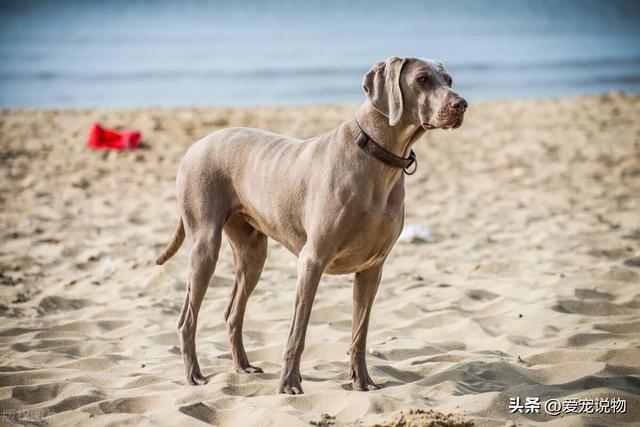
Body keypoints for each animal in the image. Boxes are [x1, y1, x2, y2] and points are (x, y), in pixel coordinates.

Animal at [155, 56, 464, 394]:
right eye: (422, 79)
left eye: (448, 79)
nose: (462, 104)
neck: (376, 158)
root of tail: (195, 145)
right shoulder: (312, 260)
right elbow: (297, 333)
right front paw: (289, 384)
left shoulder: (372, 267)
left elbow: (360, 332)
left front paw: (362, 381)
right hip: (204, 244)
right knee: (187, 319)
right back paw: (193, 375)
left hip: (253, 253)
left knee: (233, 312)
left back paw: (243, 366)